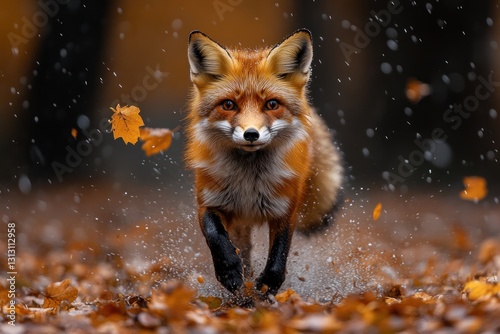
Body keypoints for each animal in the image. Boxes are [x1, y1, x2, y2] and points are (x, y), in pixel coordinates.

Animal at [185, 29, 344, 294]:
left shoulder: (285, 209)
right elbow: (215, 236)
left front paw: (269, 285)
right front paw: (230, 272)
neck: (249, 180)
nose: (251, 134)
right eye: (229, 104)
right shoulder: (208, 202)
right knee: (242, 248)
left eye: (271, 104)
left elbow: (279, 252)